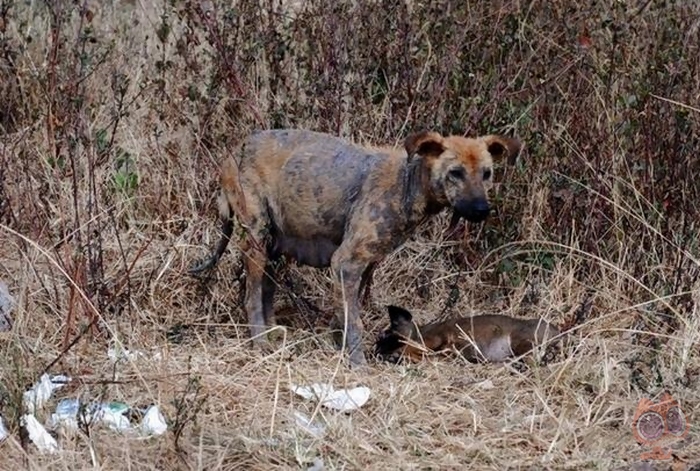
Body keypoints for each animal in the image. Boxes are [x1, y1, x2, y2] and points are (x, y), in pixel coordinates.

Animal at [189, 129, 524, 368]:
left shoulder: (362, 267)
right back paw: (260, 344)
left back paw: (274, 337)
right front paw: (357, 364)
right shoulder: (346, 262)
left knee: (266, 295)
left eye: (487, 174)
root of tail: (233, 151)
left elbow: (344, 315)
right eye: (455, 173)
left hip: (274, 247)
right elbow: (355, 321)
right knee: (251, 299)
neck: (406, 185)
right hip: (256, 238)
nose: (482, 210)